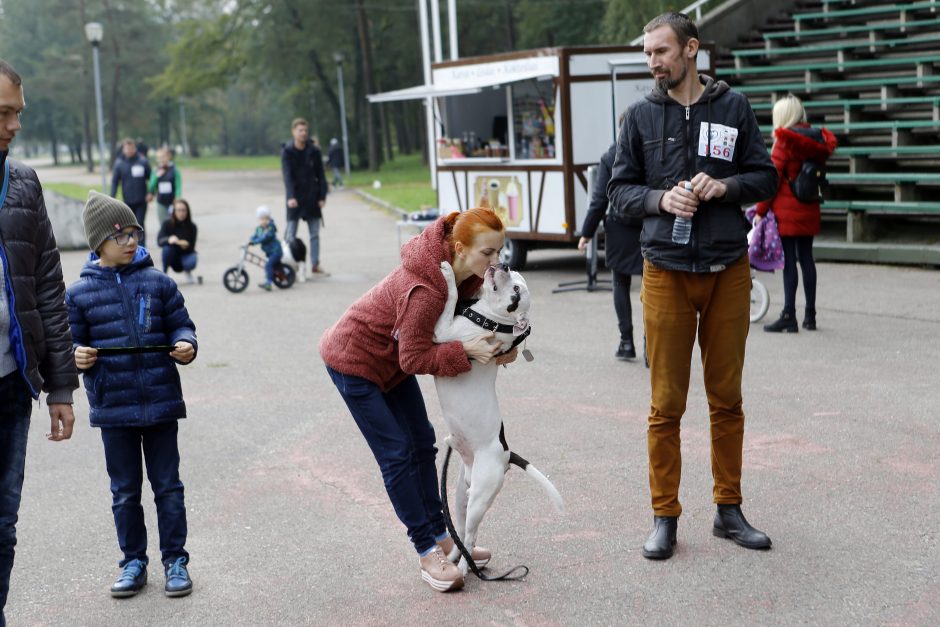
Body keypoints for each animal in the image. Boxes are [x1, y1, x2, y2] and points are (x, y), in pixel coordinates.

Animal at [434, 262, 564, 576]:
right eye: (514, 273)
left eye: (516, 289)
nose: (503, 263)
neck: (492, 321)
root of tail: (506, 453)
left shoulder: (442, 333)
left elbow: (450, 300)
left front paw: (448, 275)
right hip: (461, 496)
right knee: (461, 533)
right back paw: (456, 560)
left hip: (479, 498)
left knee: (470, 536)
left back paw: (465, 570)